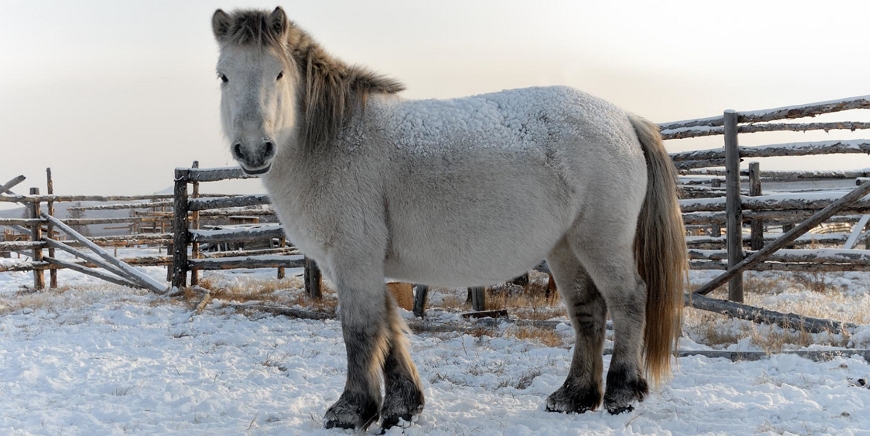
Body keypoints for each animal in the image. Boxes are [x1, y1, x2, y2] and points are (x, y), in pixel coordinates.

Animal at [211, 7, 688, 432]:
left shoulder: (353, 259)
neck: (335, 140)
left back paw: (623, 393)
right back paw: (573, 396)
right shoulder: (361, 265)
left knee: (628, 301)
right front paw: (402, 407)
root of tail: (623, 118)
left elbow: (361, 330)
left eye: (278, 74)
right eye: (224, 75)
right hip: (565, 248)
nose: (254, 150)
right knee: (588, 310)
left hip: (600, 242)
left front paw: (351, 410)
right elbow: (388, 329)